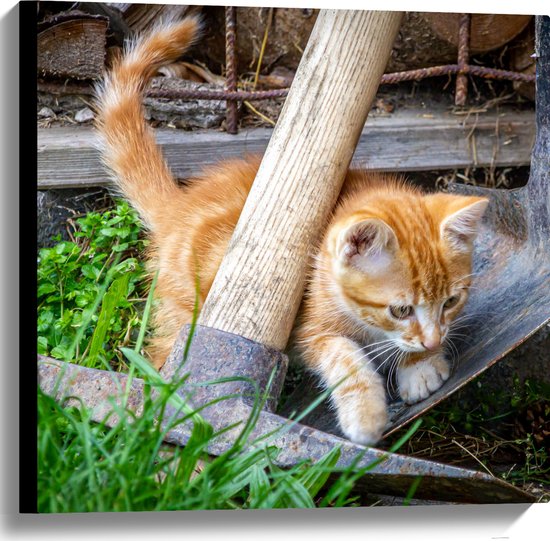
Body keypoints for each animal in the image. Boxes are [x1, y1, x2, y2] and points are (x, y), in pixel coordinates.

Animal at [96, 19, 492, 446]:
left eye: (450, 302)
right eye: (400, 310)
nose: (434, 341)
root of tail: (178, 206)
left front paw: (420, 365)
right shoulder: (309, 328)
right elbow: (345, 359)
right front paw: (366, 416)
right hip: (188, 311)